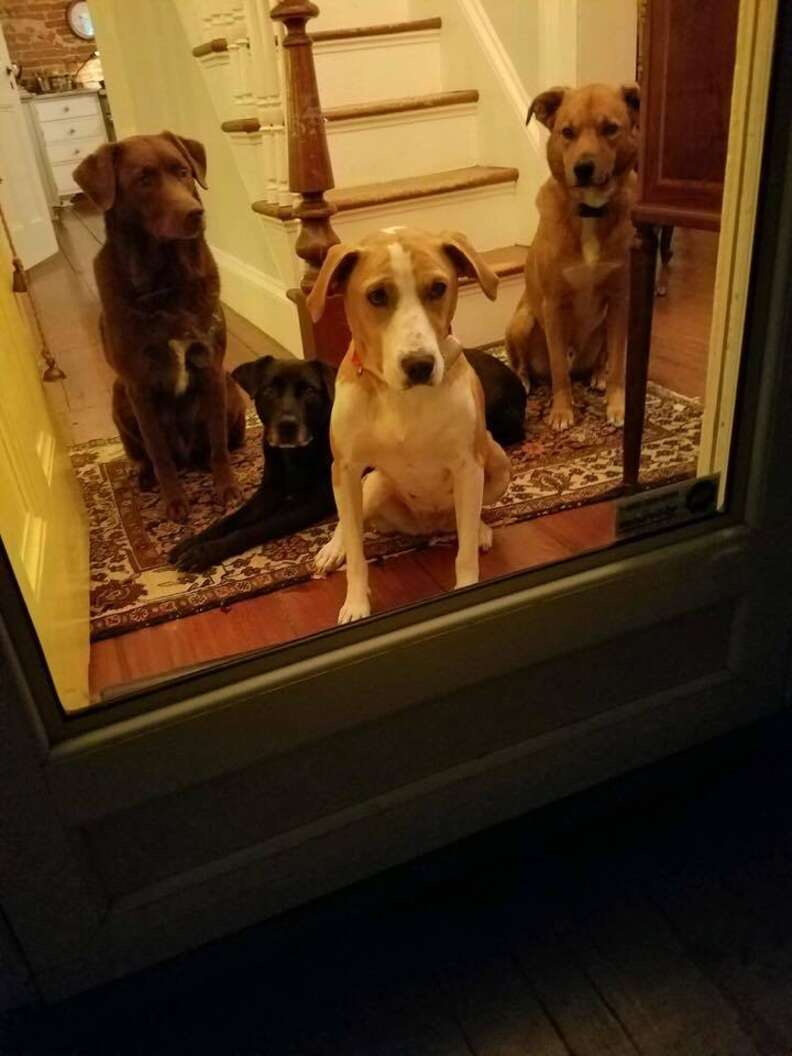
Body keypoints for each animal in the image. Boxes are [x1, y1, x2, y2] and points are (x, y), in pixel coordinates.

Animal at [76, 133, 248, 523]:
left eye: (182, 171)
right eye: (143, 179)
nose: (195, 213)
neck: (167, 283)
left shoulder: (211, 368)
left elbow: (217, 442)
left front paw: (227, 488)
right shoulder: (138, 385)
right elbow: (158, 452)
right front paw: (174, 502)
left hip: (229, 387)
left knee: (221, 441)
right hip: (119, 397)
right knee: (147, 454)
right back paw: (145, 477)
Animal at [168, 354, 335, 570]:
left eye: (309, 391)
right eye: (269, 390)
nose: (287, 425)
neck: (294, 453)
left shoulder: (313, 502)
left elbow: (255, 528)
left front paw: (203, 552)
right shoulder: (268, 492)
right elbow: (229, 520)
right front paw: (191, 541)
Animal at [304, 227, 515, 620]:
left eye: (438, 288)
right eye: (376, 295)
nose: (419, 365)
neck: (400, 397)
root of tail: (426, 526)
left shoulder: (468, 465)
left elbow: (464, 553)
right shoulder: (346, 466)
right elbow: (356, 555)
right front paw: (355, 604)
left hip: (497, 460)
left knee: (468, 519)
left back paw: (479, 530)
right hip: (371, 484)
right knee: (350, 522)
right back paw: (332, 549)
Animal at [508, 80, 646, 430]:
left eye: (610, 128)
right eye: (567, 132)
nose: (583, 168)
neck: (590, 212)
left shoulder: (620, 299)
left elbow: (619, 363)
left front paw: (617, 405)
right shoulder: (554, 305)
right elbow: (559, 372)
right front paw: (561, 412)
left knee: (604, 358)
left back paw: (597, 375)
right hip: (521, 322)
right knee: (528, 365)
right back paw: (525, 380)